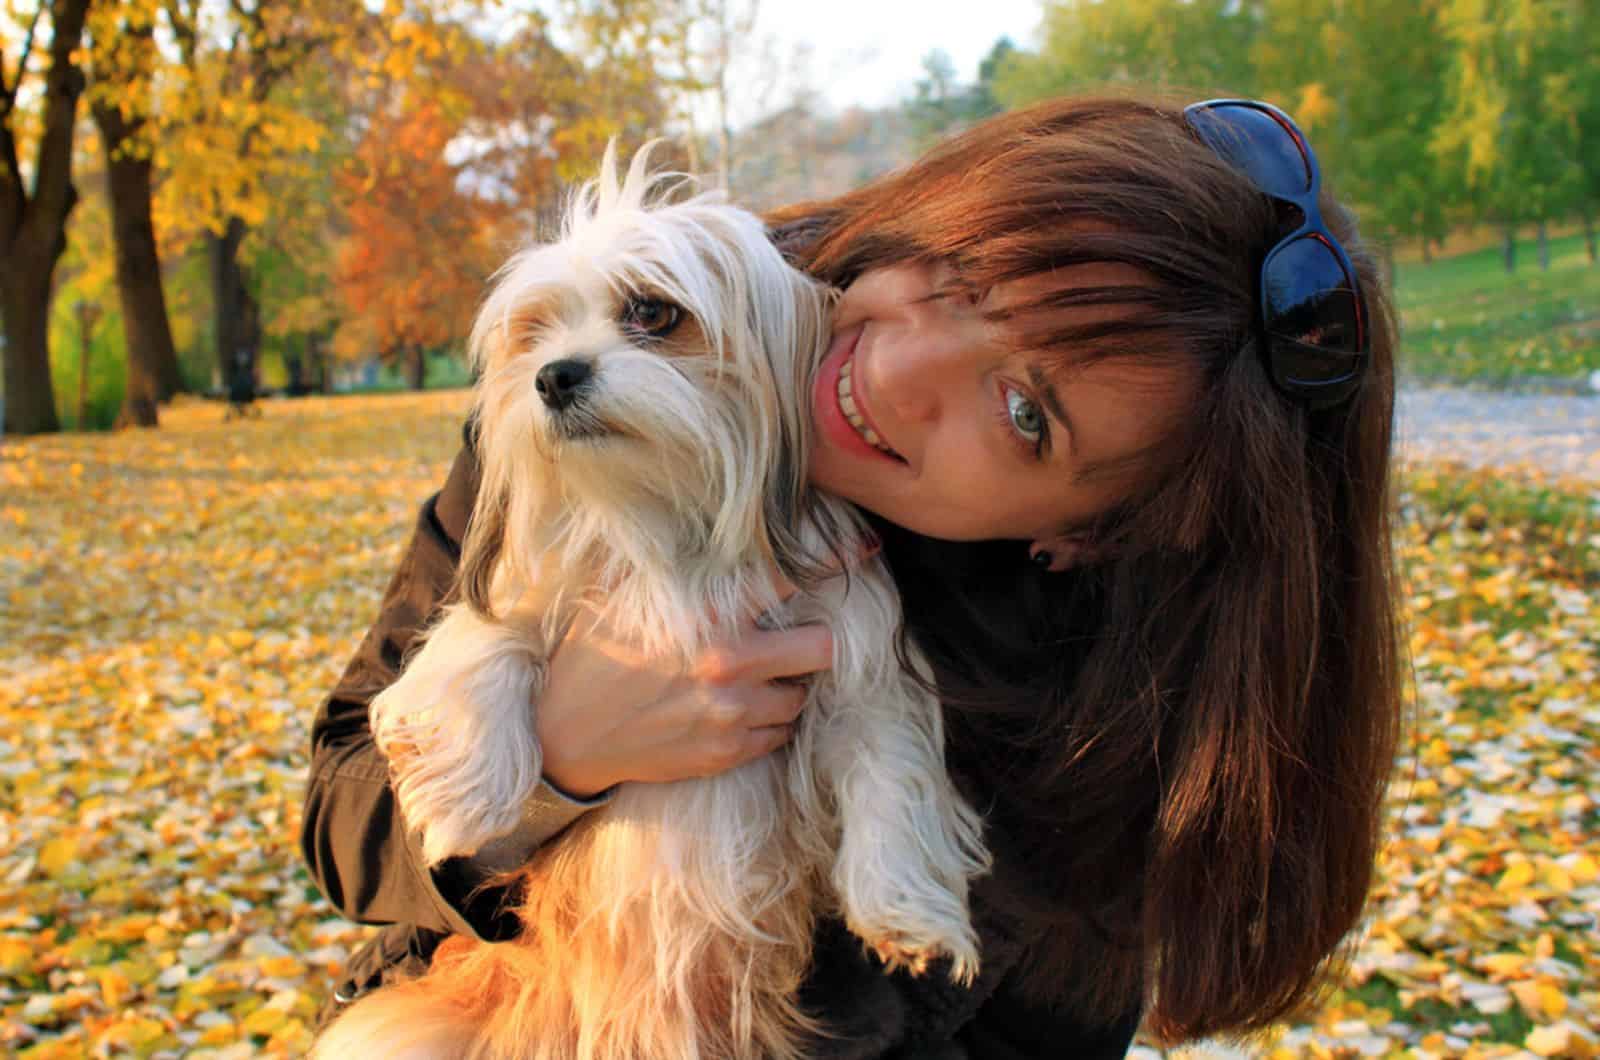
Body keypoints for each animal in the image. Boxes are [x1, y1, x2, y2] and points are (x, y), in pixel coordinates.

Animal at [312, 147, 985, 1060]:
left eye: (652, 312)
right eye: (535, 332)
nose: (552, 375)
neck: (660, 517)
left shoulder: (858, 669)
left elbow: (888, 776)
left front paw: (907, 913)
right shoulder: (526, 590)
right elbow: (489, 640)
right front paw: (467, 799)